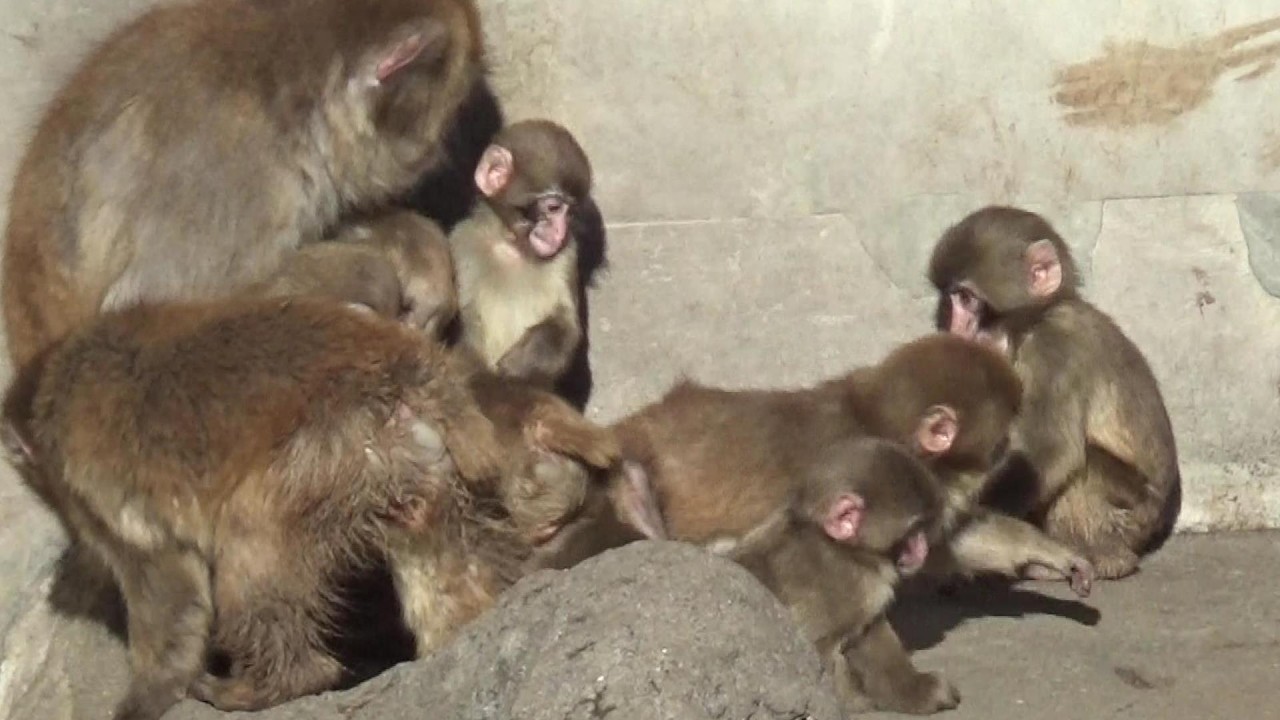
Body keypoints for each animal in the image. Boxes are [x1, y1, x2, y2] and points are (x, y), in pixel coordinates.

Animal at [0, 296, 623, 720]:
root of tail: (415, 374)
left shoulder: (94, 492)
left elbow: (168, 592)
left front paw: (146, 698)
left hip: (327, 453)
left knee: (251, 543)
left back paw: (272, 684)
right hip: (412, 466)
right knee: (438, 547)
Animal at [450, 119, 594, 388]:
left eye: (570, 214)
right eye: (553, 208)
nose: (560, 231)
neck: (512, 246)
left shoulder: (567, 254)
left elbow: (567, 326)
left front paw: (519, 366)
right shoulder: (461, 241)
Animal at [712, 437, 958, 715]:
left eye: (922, 528)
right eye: (913, 531)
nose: (923, 549)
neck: (843, 549)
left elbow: (868, 632)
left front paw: (914, 690)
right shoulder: (846, 585)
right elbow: (819, 645)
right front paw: (852, 705)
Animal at [928, 206, 1182, 579]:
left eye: (967, 298)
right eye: (950, 297)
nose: (954, 327)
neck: (1036, 319)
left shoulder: (1054, 349)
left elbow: (1049, 453)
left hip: (1130, 517)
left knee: (1085, 469)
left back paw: (1105, 558)